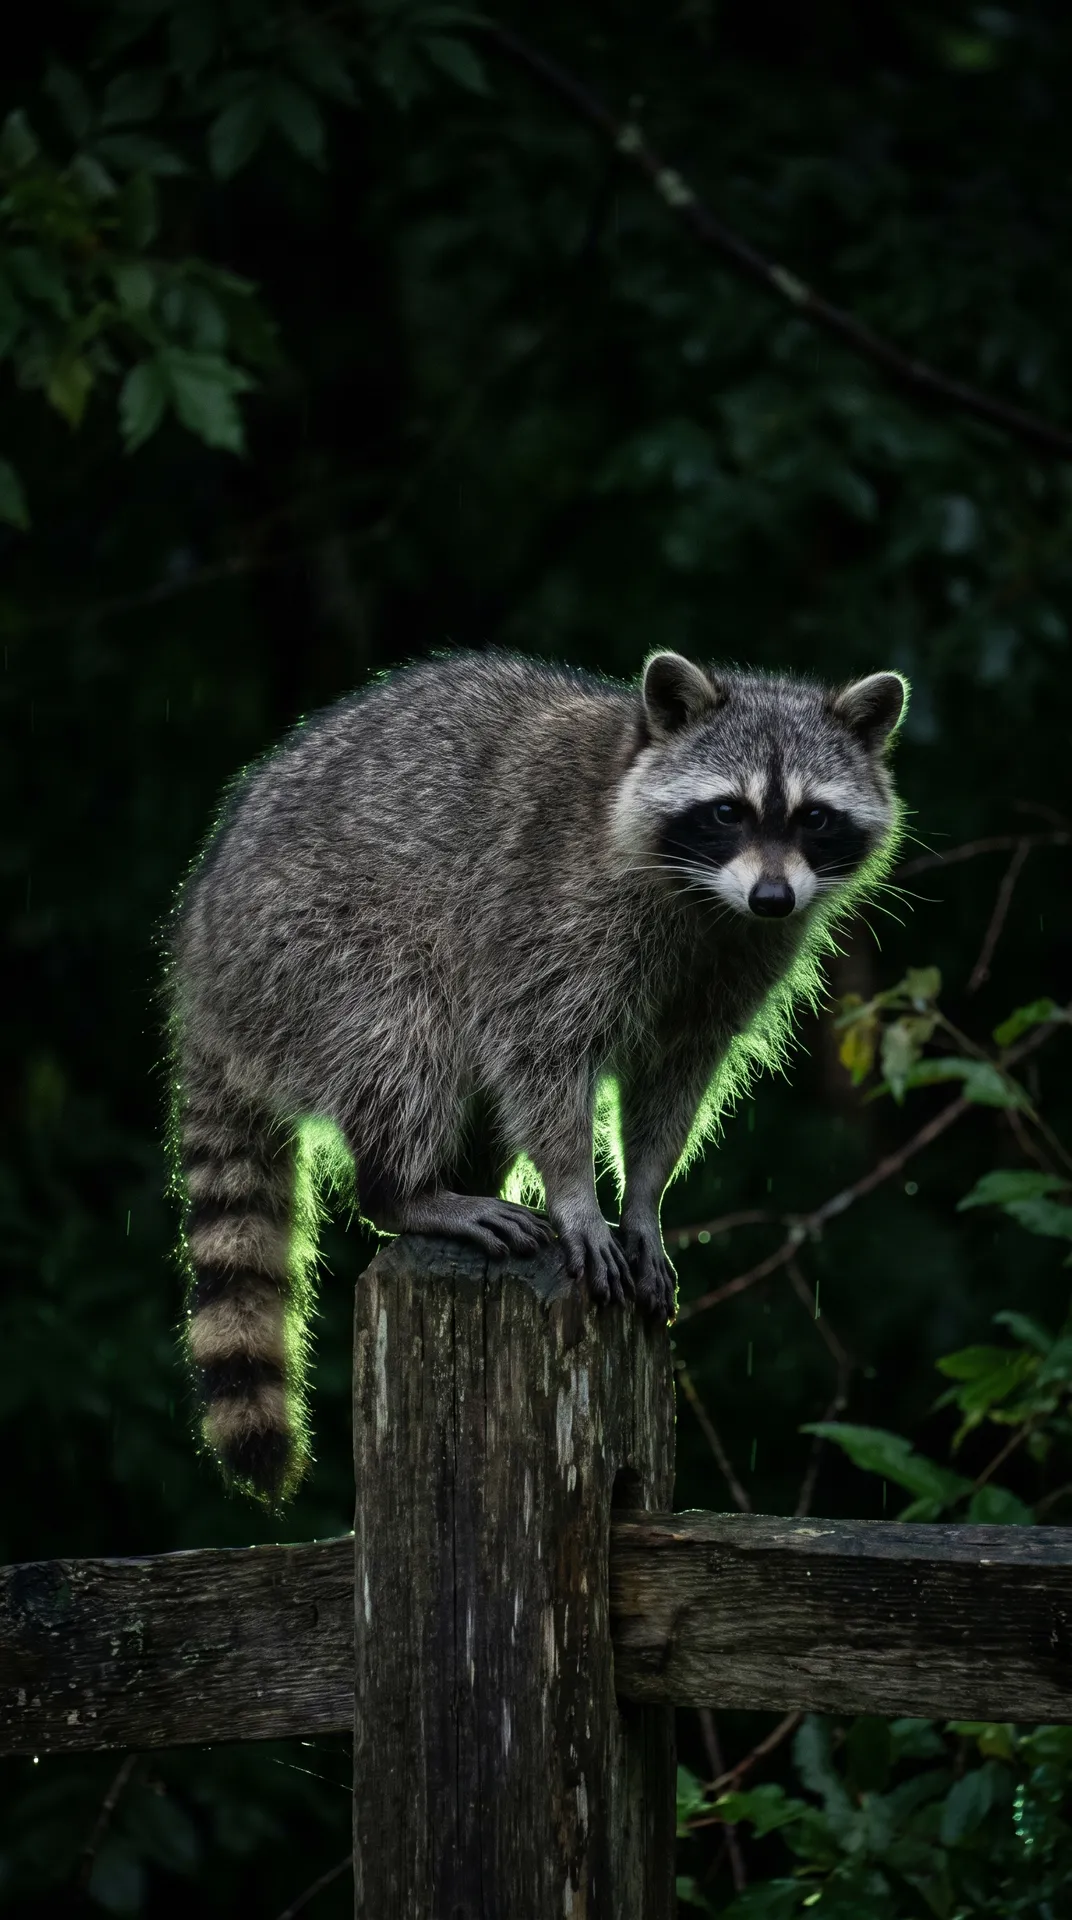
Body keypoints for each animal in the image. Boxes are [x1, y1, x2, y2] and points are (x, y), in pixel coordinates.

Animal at [169, 649, 907, 1501]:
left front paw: (645, 1199)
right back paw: (407, 1191)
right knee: (404, 1036)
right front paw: (578, 1194)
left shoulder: (730, 968)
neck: (706, 900)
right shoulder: (551, 921)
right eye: (728, 811)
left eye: (815, 817)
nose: (774, 896)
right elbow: (541, 1059)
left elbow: (672, 1090)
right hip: (313, 949)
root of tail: (203, 971)